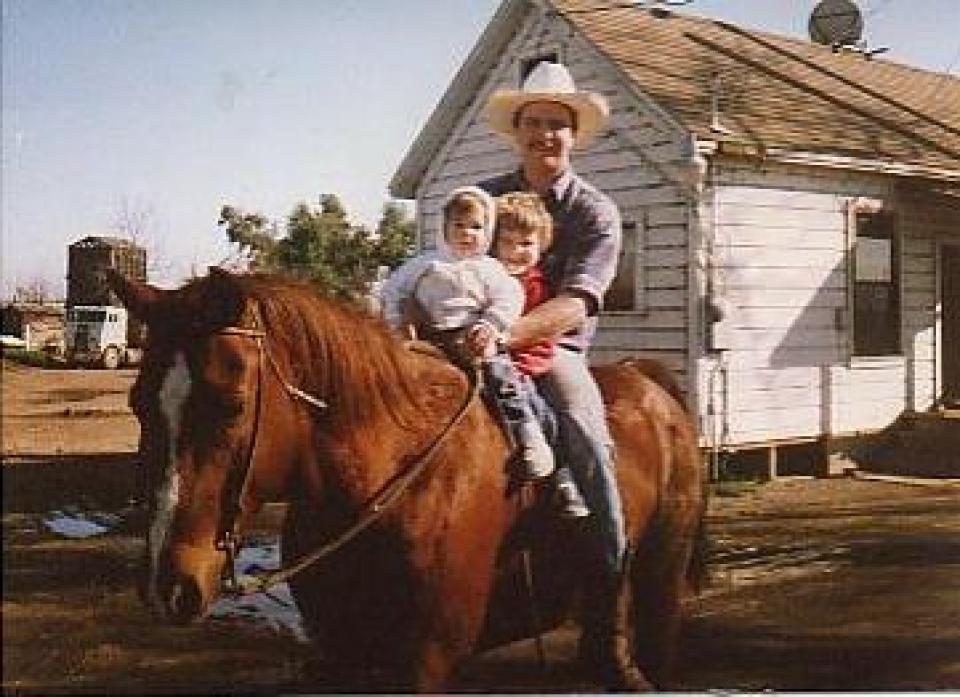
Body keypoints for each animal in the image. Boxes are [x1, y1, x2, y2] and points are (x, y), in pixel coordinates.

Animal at [110, 266, 704, 692]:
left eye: (231, 405)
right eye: (139, 403)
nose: (167, 585)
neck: (395, 480)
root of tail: (647, 380)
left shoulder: (426, 658)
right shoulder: (342, 652)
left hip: (663, 569)